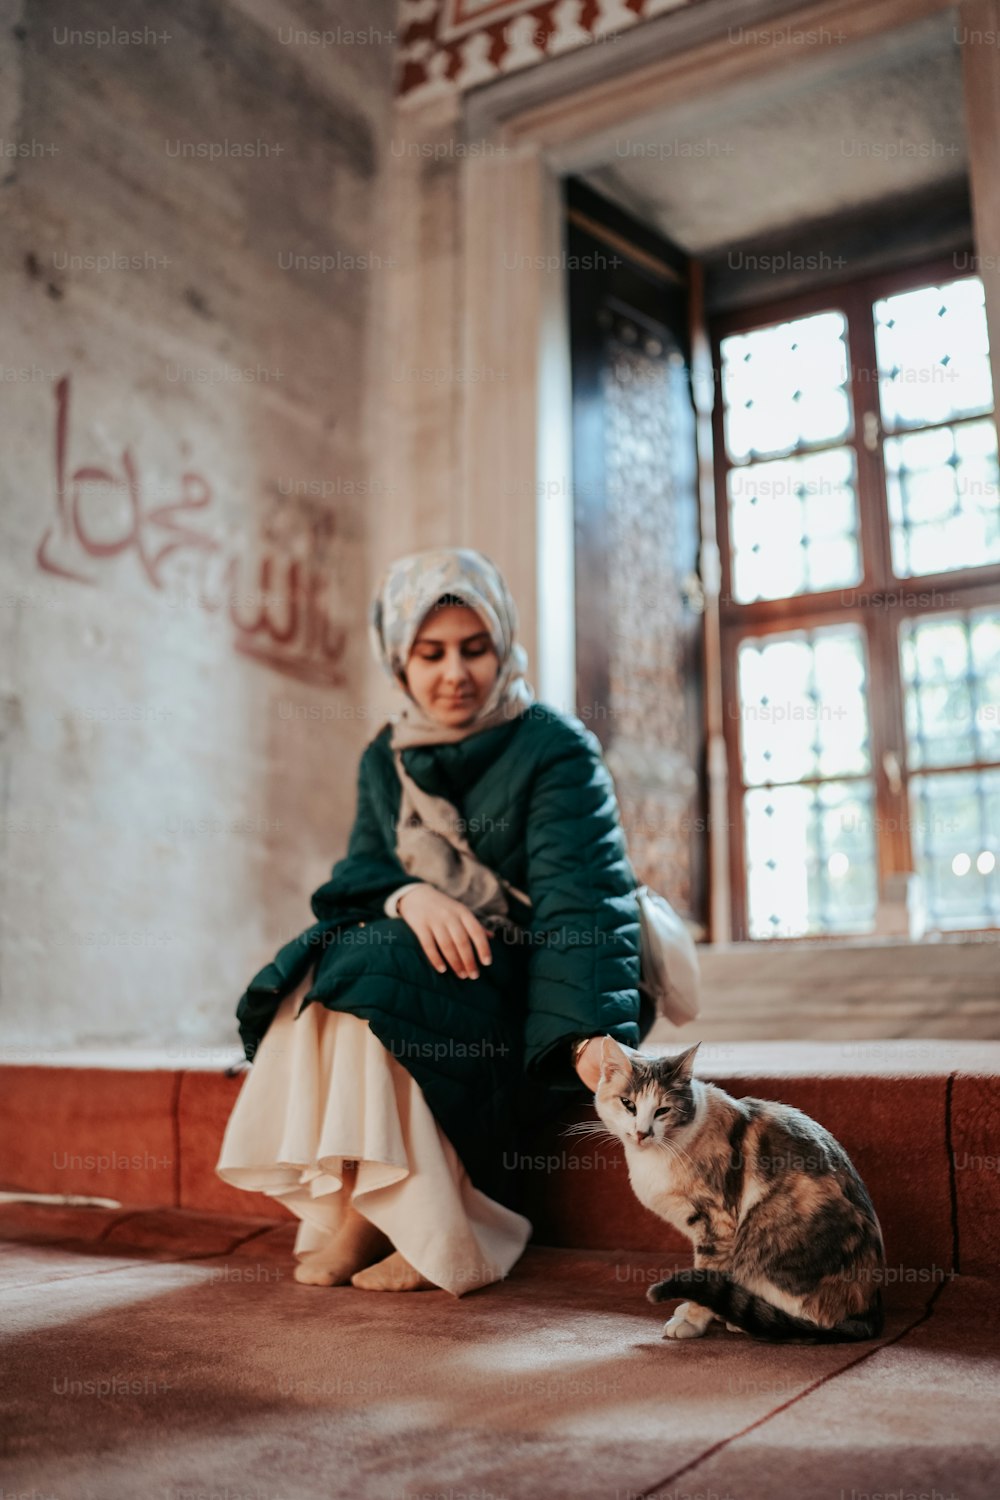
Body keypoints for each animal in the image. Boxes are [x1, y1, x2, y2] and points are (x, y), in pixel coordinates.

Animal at [590, 1038, 887, 1344]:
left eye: (663, 1110)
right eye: (628, 1104)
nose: (642, 1133)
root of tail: (869, 1313)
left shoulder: (717, 1223)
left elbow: (706, 1271)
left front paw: (692, 1320)